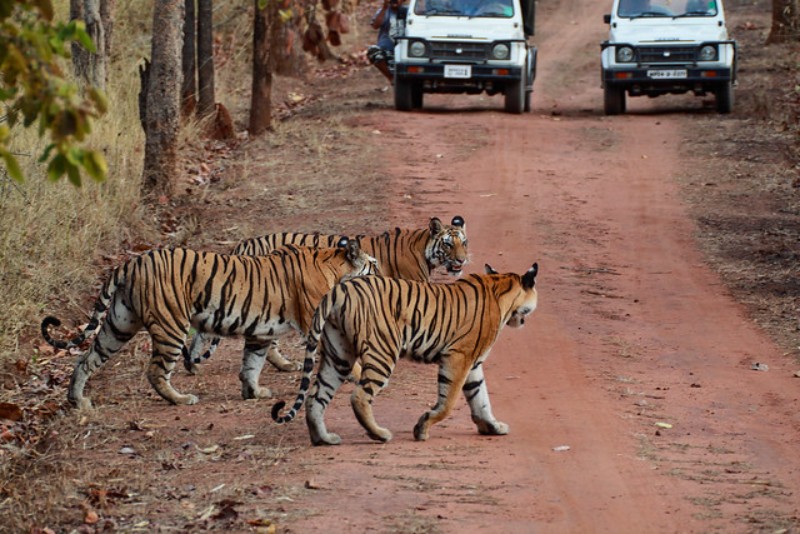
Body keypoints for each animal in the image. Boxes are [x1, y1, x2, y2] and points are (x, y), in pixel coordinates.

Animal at [40, 239, 380, 409]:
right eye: (373, 265)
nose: (383, 275)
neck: (334, 265)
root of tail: (131, 261)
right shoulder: (315, 325)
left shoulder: (260, 333)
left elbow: (251, 364)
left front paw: (254, 392)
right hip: (171, 326)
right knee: (156, 371)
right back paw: (180, 399)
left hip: (119, 324)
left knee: (86, 359)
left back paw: (77, 400)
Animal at [184, 215, 469, 375]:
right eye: (448, 244)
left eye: (463, 242)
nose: (462, 260)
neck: (422, 248)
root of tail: (243, 244)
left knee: (203, 332)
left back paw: (192, 366)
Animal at [271, 262, 539, 446]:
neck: (501, 287)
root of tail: (340, 288)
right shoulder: (459, 357)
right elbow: (448, 402)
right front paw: (422, 428)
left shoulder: (472, 364)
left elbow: (481, 398)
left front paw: (493, 426)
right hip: (382, 352)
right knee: (359, 396)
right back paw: (379, 434)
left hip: (339, 355)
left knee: (315, 396)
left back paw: (323, 438)